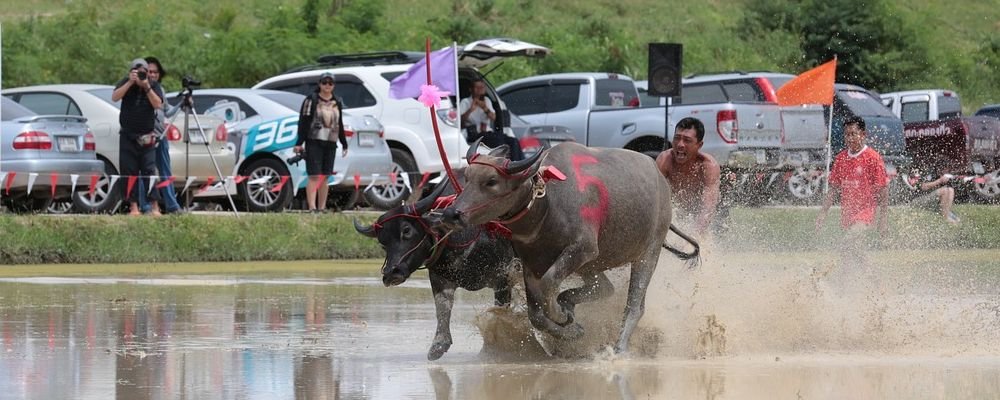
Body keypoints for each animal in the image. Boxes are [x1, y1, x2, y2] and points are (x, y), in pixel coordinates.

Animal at [356, 180, 520, 360]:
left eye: (406, 230)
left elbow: (499, 313)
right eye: (382, 242)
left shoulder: (503, 278)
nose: (391, 273)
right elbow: (442, 308)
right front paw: (438, 344)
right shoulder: (440, 280)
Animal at [442, 140, 700, 354]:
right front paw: (571, 328)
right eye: (467, 177)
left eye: (491, 181)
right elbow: (535, 314)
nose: (451, 213)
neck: (547, 203)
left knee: (634, 305)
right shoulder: (531, 263)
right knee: (605, 289)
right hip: (592, 265)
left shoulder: (581, 249)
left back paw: (619, 348)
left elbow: (548, 286)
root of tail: (662, 183)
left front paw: (562, 315)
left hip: (647, 253)